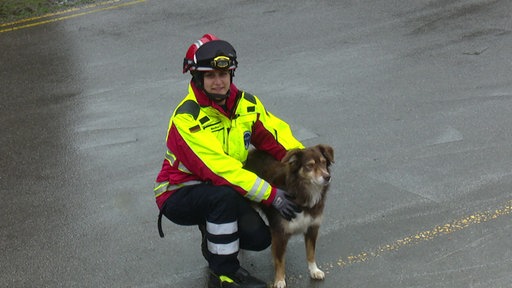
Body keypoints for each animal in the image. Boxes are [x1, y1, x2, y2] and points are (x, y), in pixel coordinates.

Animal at [245, 145, 336, 286]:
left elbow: (311, 252)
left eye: (324, 162)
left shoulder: (312, 228)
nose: (327, 177)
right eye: (309, 166)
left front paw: (314, 270)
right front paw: (279, 280)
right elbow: (280, 260)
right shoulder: (280, 232)